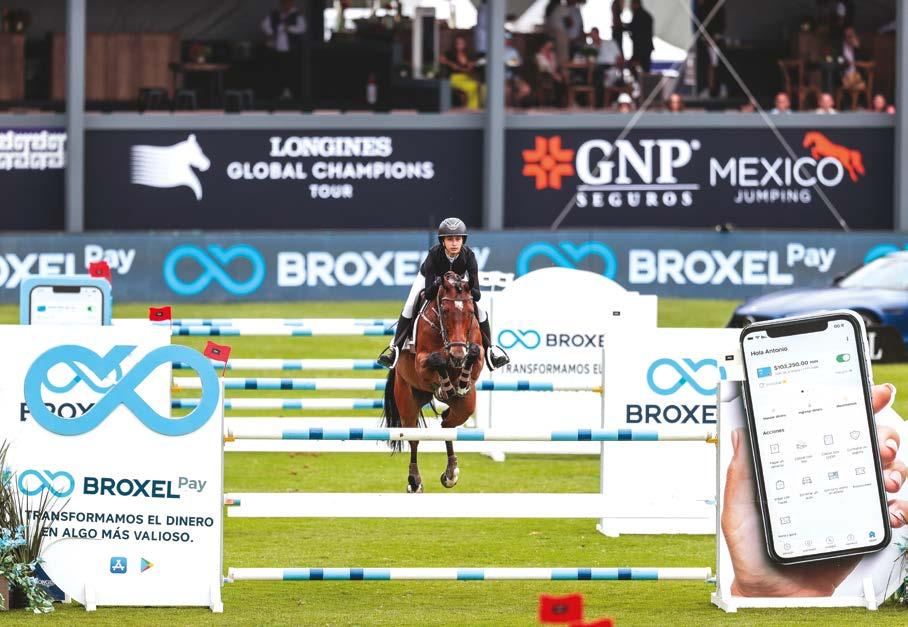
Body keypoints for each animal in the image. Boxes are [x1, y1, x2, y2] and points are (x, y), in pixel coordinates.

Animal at [381, 271, 485, 493]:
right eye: (444, 311)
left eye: (471, 311)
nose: (457, 354)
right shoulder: (421, 363)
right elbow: (437, 359)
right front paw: (445, 383)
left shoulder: (478, 358)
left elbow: (474, 353)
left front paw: (461, 381)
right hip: (407, 398)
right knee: (413, 437)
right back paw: (414, 481)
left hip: (465, 406)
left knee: (447, 423)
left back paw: (451, 473)